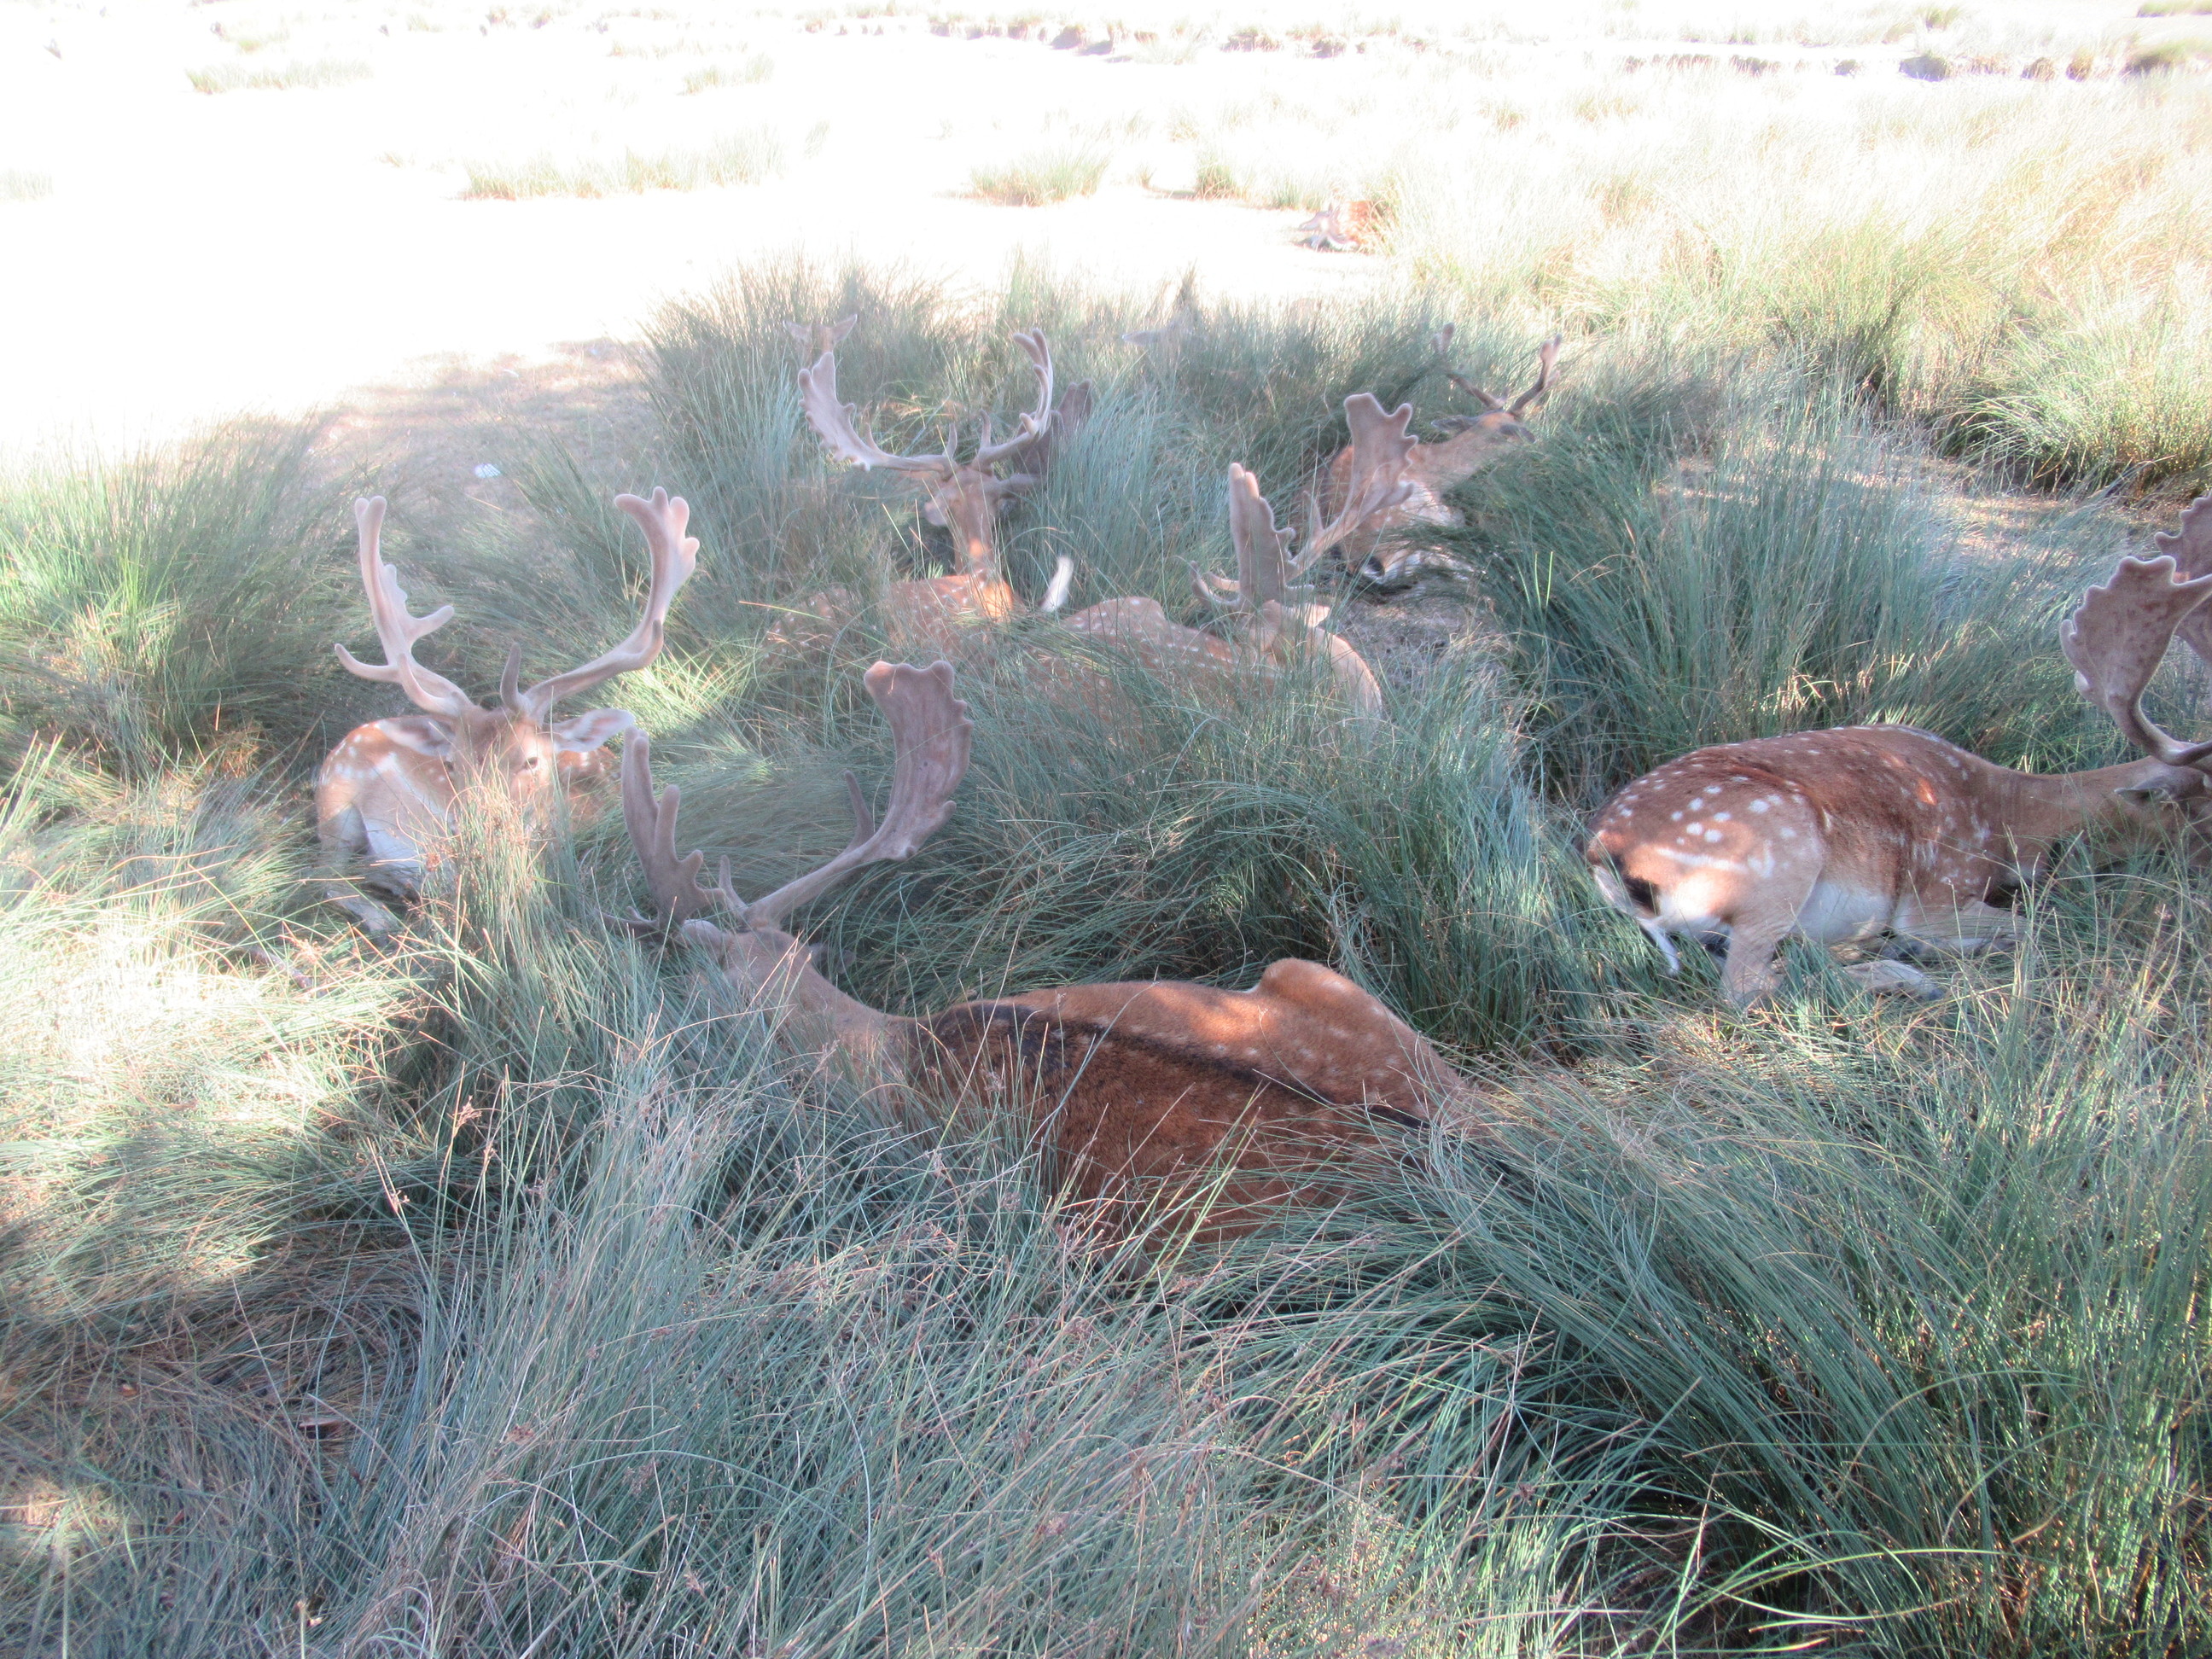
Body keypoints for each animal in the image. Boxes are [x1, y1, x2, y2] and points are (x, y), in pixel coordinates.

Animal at [316, 489, 698, 933]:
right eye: (452, 765)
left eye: (530, 760)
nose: (465, 832)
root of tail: (347, 740)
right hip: (336, 801)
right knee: (323, 875)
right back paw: (383, 914)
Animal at [1317, 327, 1563, 589]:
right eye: (1521, 430)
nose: (1539, 450)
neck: (1432, 466)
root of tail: (1368, 563)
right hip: (1415, 521)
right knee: (1463, 566)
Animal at [1583, 495, 2212, 1006]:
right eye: (2207, 807)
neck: (2009, 819)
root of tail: (1603, 852)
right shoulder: (1936, 891)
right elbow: (2035, 927)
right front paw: (1933, 951)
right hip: (1778, 848)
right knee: (1745, 986)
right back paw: (1906, 974)